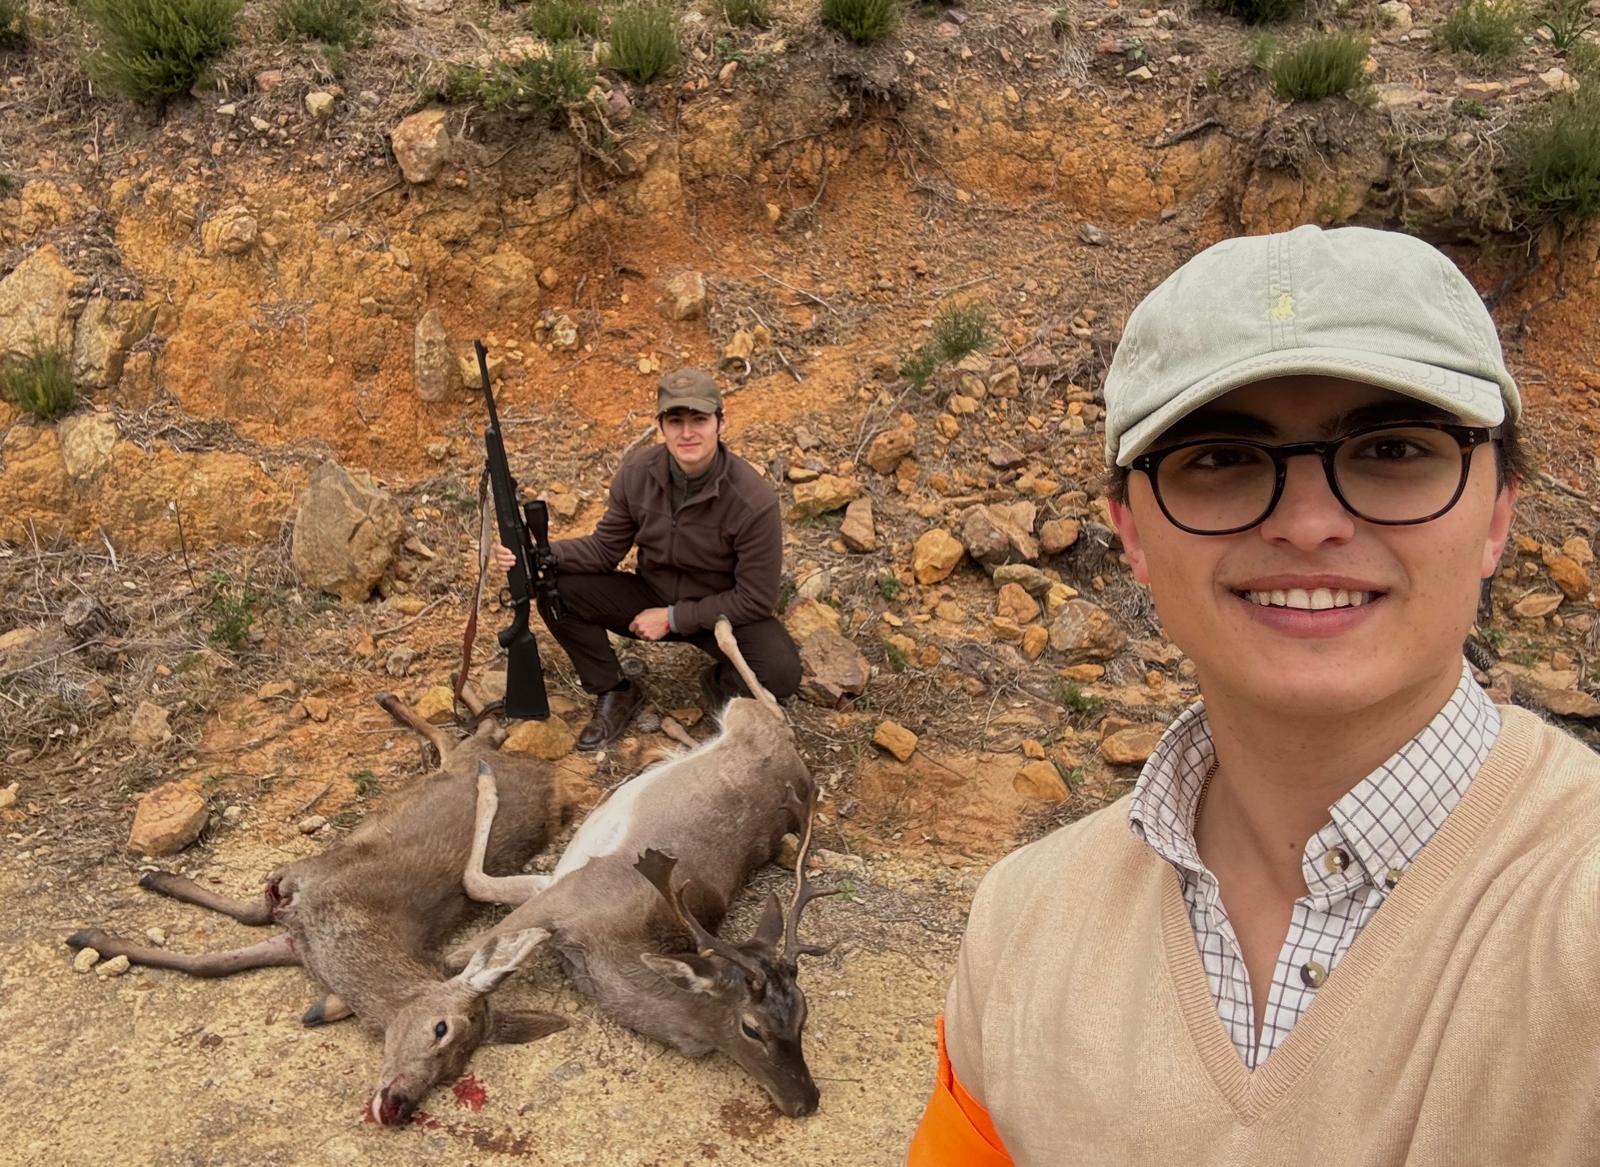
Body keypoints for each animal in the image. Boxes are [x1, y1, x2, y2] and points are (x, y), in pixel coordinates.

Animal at [65, 691, 572, 1126]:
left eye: (453, 1072)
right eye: (440, 1028)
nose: (400, 1104)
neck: (345, 943)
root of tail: (550, 780)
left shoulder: (295, 938)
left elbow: (211, 963)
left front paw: (100, 932)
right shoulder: (298, 887)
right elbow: (241, 923)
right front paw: (133, 898)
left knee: (476, 737)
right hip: (459, 763)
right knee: (462, 739)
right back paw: (403, 701)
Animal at [446, 616, 834, 1118]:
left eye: (803, 1013)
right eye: (752, 1028)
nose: (805, 1100)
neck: (605, 950)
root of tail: (801, 774)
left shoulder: (568, 890)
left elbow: (466, 921)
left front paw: (487, 781)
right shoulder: (570, 887)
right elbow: (467, 921)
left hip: (750, 722)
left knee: (771, 705)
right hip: (747, 722)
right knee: (768, 704)